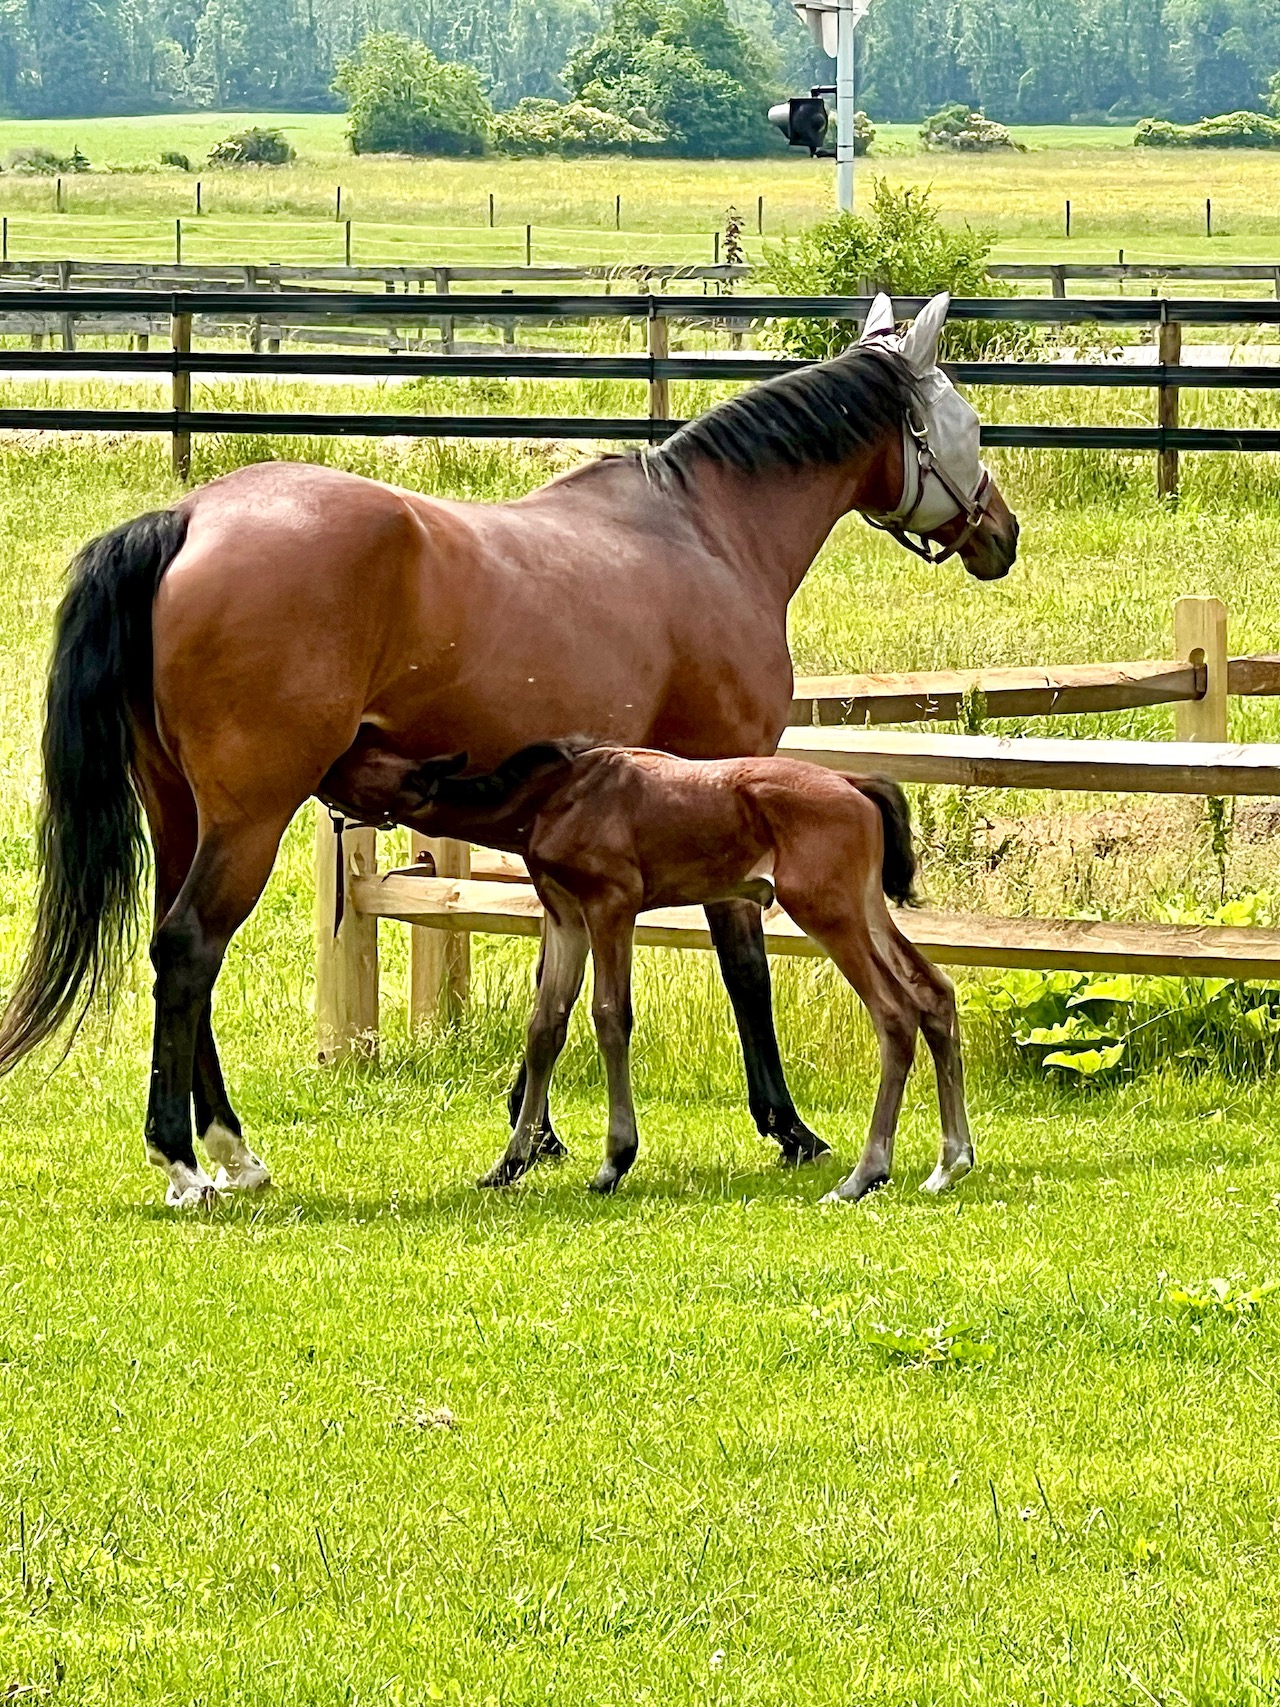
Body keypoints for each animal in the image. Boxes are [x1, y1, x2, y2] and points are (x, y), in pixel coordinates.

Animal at [378, 744, 969, 1201]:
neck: (559, 794)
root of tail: (854, 784)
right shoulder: (565, 915)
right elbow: (546, 1025)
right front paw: (509, 1164)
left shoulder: (611, 907)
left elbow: (609, 1015)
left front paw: (613, 1162)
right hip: (866, 909)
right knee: (935, 992)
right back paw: (949, 1163)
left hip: (828, 912)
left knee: (895, 1012)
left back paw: (865, 1174)